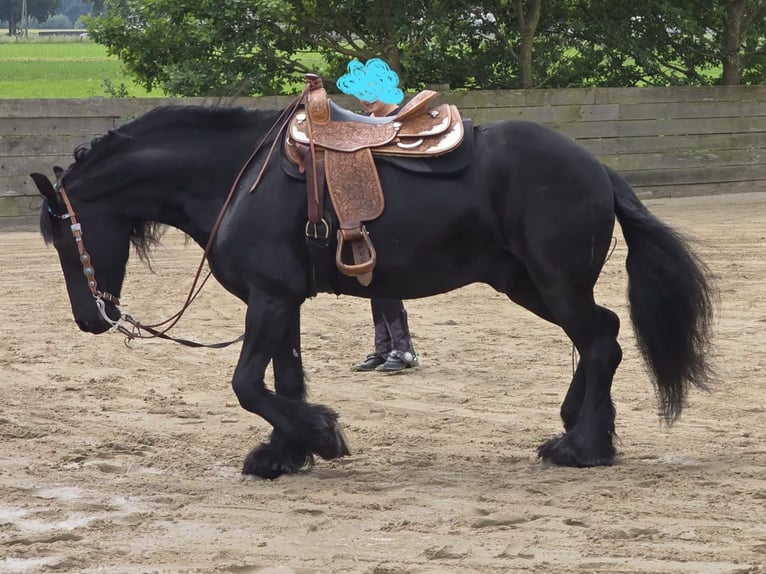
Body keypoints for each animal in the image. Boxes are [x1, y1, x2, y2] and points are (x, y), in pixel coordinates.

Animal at [31, 103, 715, 480]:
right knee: (603, 337)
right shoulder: (281, 301)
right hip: (527, 284)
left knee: (600, 341)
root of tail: (596, 168)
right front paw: (285, 454)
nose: (91, 318)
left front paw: (320, 436)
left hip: (555, 283)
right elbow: (285, 379)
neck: (236, 179)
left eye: (62, 232)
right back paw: (579, 429)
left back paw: (584, 446)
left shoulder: (269, 299)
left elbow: (248, 384)